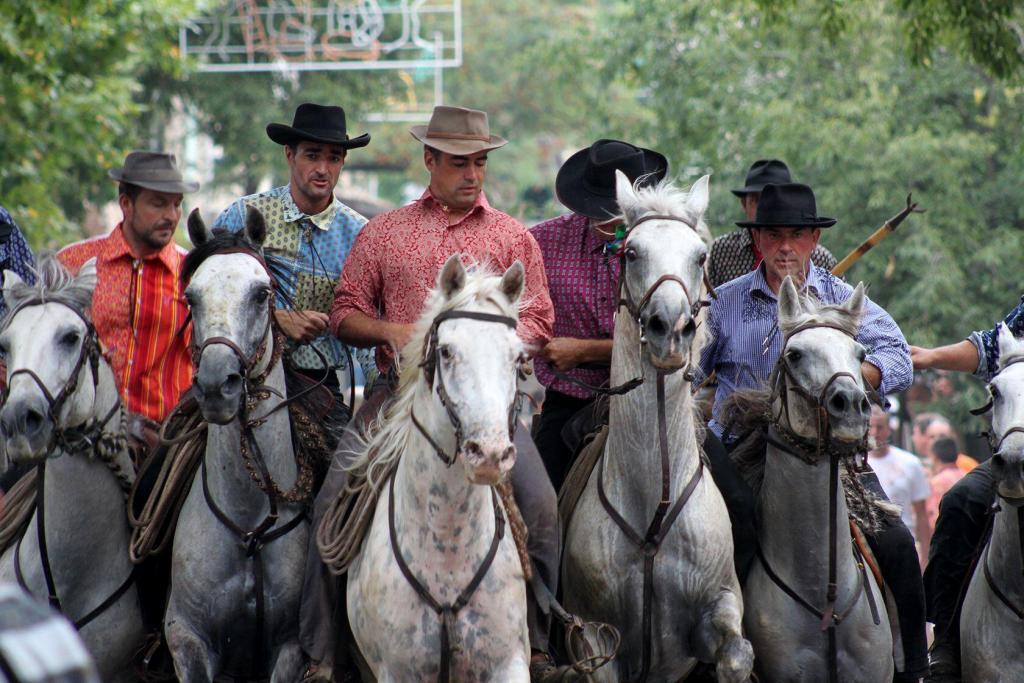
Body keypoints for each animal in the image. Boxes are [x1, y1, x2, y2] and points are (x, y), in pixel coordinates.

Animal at [348, 255, 532, 683]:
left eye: (518, 358)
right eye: (446, 352)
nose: (490, 454)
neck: (447, 549)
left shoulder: (508, 662)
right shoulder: (397, 671)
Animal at [561, 172, 753, 683]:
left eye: (700, 256)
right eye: (632, 252)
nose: (671, 328)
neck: (654, 504)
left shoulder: (717, 608)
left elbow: (736, 655)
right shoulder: (594, 638)